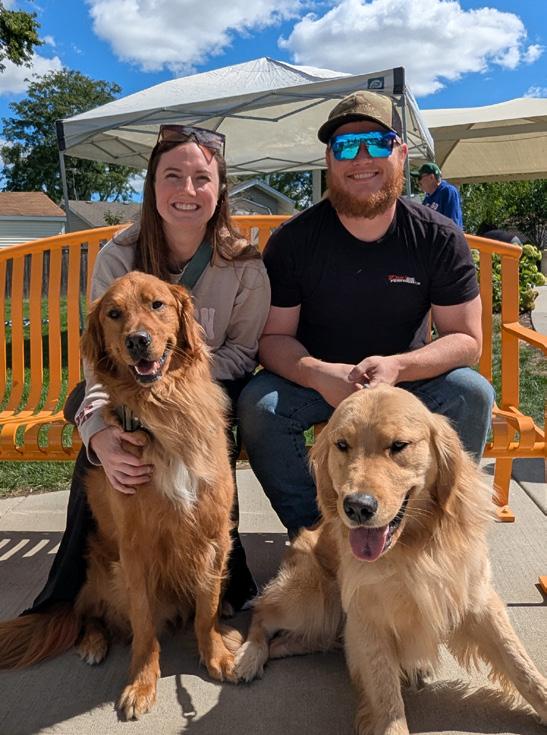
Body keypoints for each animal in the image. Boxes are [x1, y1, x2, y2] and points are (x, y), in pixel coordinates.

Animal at [0, 271, 240, 719]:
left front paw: (215, 652)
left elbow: (207, 606)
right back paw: (93, 642)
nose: (138, 340)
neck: (162, 407)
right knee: (88, 613)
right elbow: (144, 625)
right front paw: (142, 682)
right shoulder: (134, 549)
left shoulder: (213, 534)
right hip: (104, 571)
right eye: (114, 314)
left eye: (157, 305)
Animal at [235, 385, 547, 734]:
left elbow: (521, 666)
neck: (414, 547)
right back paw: (247, 657)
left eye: (398, 446)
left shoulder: (477, 598)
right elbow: (388, 702)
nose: (358, 506)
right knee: (262, 613)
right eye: (342, 445)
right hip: (313, 599)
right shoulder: (369, 619)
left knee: (300, 640)